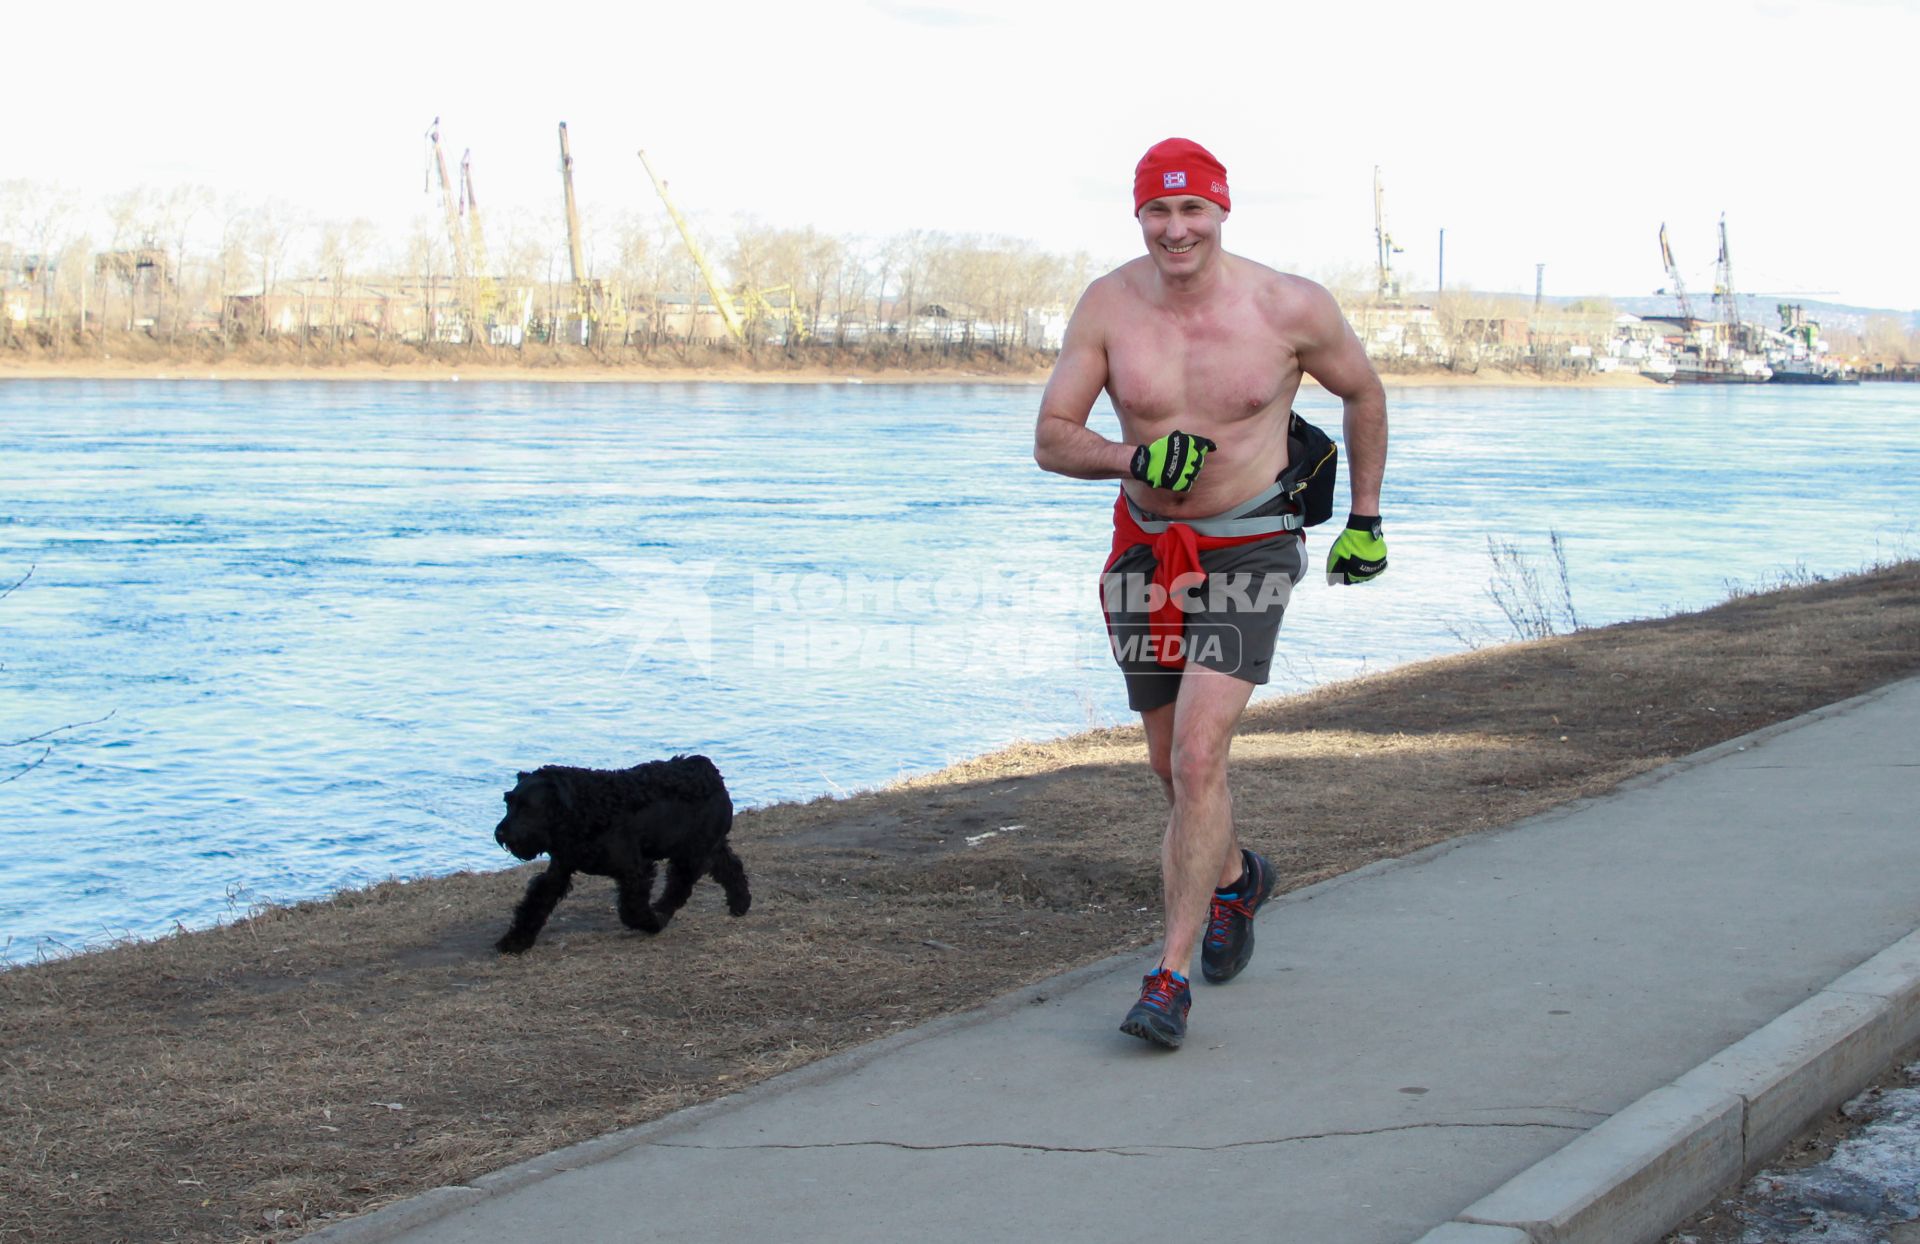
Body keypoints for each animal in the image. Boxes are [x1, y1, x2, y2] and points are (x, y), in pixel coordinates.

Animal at [495, 756, 748, 952]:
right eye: (508, 802)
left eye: (527, 807)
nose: (500, 833)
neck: (585, 809)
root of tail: (710, 771)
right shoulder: (559, 870)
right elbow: (536, 902)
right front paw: (515, 941)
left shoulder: (635, 869)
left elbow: (631, 910)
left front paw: (650, 923)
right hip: (706, 846)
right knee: (730, 865)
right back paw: (740, 904)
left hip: (691, 853)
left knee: (680, 887)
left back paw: (661, 914)